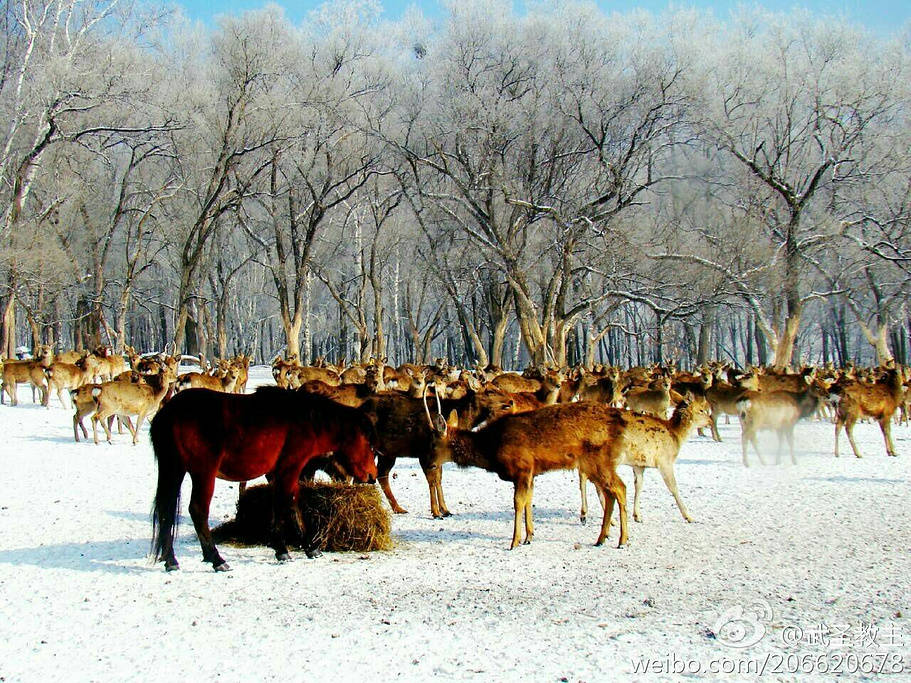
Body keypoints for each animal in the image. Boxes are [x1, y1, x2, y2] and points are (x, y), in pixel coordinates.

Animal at [151, 390, 378, 572]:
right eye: (367, 441)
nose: (372, 475)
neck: (306, 421)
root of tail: (170, 412)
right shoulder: (290, 468)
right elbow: (286, 504)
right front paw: (285, 548)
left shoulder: (279, 473)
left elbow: (289, 505)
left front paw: (305, 546)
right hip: (203, 473)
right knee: (197, 510)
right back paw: (216, 559)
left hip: (174, 470)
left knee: (166, 513)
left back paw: (170, 560)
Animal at [426, 400, 628, 552]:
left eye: (434, 444)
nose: (430, 464)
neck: (491, 450)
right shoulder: (531, 473)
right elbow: (529, 500)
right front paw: (529, 536)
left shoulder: (523, 468)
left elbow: (518, 503)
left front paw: (514, 541)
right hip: (596, 464)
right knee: (611, 493)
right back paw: (602, 538)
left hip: (597, 460)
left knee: (620, 488)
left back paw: (622, 540)